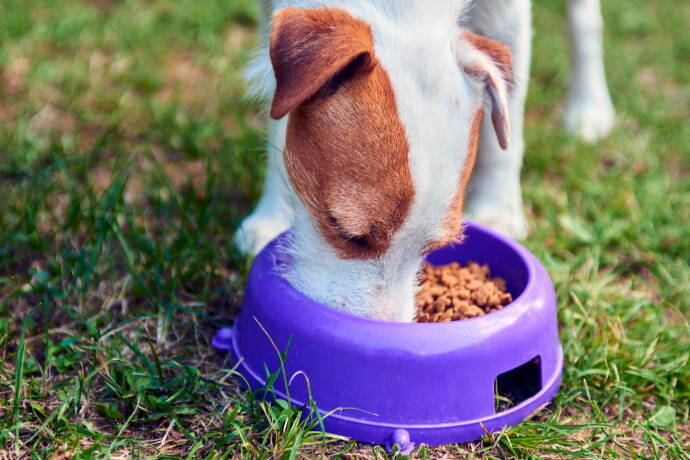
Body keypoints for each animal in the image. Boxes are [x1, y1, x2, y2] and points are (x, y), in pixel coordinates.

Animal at [232, 0, 612, 322]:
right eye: (342, 229)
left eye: (434, 247)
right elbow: (278, 117)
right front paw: (273, 216)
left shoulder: (508, 14)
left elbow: (507, 129)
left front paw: (497, 210)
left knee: (586, 21)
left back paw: (589, 107)